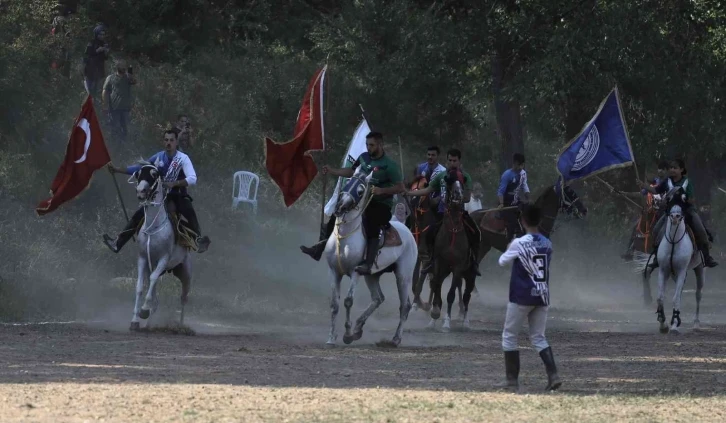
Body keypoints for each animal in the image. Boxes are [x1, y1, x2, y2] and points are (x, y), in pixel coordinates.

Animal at [322, 166, 418, 348]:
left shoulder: (355, 272)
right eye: (347, 183)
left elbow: (348, 301)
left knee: (405, 305)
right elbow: (334, 304)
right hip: (372, 275)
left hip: (403, 275)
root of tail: (407, 230)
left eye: (360, 191)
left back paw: (395, 339)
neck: (344, 237)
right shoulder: (334, 272)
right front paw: (331, 338)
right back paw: (358, 328)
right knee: (378, 298)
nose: (339, 206)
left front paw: (347, 334)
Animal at [636, 202, 704, 334]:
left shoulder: (682, 271)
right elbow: (660, 298)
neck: (674, 242)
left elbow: (676, 298)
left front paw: (674, 325)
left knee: (698, 294)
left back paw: (696, 323)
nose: (675, 217)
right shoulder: (664, 270)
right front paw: (663, 324)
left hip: (699, 268)